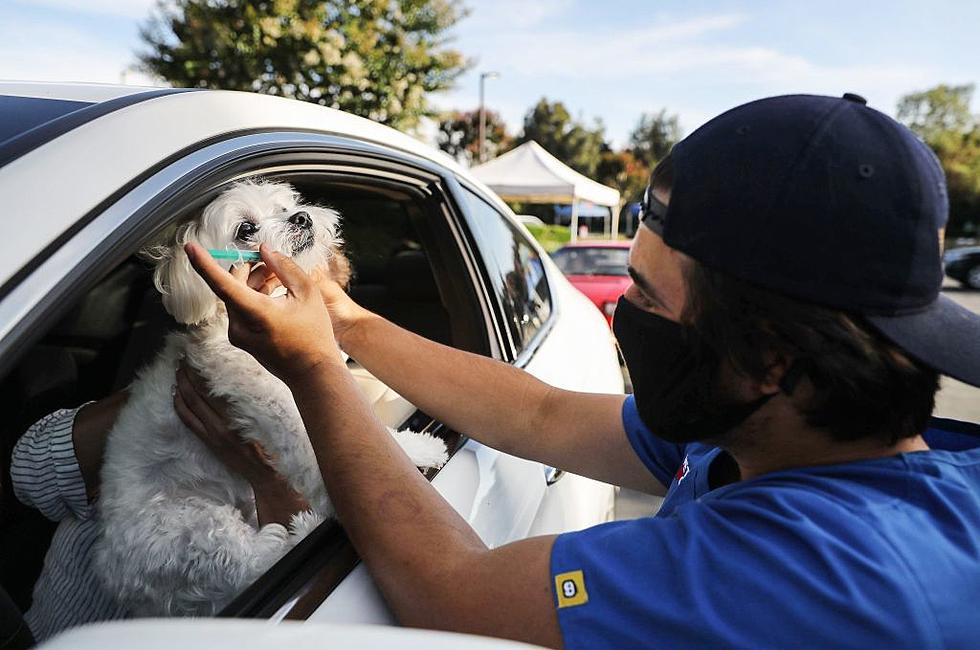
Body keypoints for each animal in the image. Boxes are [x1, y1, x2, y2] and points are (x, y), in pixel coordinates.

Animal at [94, 181, 446, 612]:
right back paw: (298, 532)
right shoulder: (272, 402)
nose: (302, 218)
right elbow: (313, 447)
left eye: (287, 205)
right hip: (184, 529)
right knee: (241, 562)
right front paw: (408, 456)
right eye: (246, 229)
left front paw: (417, 447)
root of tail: (114, 577)